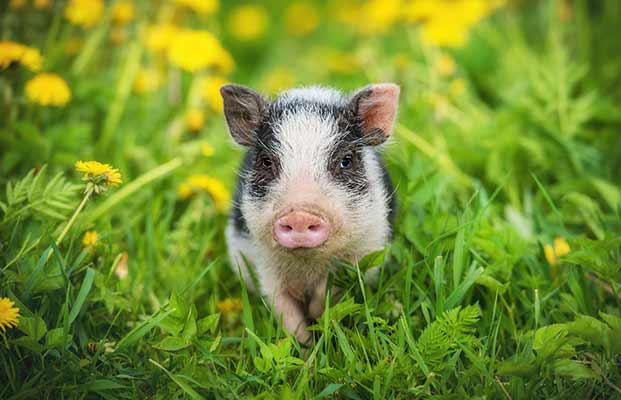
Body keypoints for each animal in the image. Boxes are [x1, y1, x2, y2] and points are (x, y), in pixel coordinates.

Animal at [220, 83, 400, 344]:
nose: (300, 216)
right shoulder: (265, 265)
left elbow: (329, 291)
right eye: (266, 162)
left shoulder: (361, 252)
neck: (307, 266)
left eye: (346, 161)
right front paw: (305, 351)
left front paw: (317, 319)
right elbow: (286, 313)